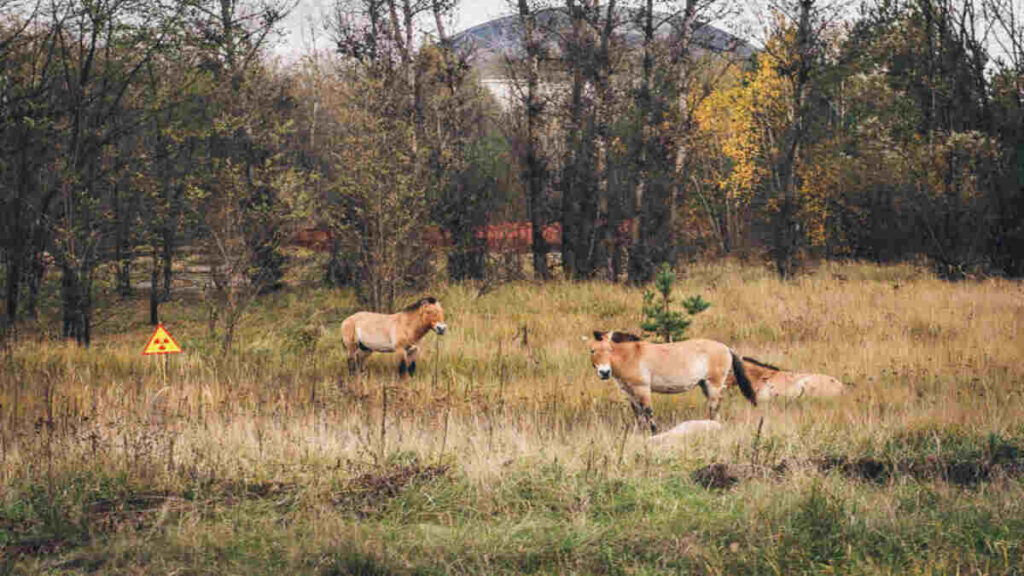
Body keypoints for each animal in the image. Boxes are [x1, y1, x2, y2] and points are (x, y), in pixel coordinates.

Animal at [589, 327, 757, 430]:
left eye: (610, 349)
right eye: (592, 350)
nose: (604, 372)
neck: (631, 355)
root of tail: (726, 348)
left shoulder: (642, 389)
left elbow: (648, 413)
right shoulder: (630, 393)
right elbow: (639, 416)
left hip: (714, 384)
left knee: (714, 407)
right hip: (705, 385)